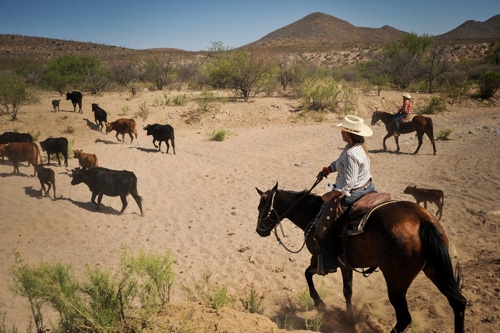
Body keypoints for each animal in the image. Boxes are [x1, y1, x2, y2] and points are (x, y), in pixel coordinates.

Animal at [256, 182, 466, 332]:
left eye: (261, 207)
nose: (259, 231)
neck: (313, 215)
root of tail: (421, 220)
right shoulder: (346, 265)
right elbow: (347, 291)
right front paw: (349, 318)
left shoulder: (322, 260)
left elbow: (308, 275)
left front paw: (321, 304)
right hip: (434, 269)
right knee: (458, 302)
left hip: (396, 283)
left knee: (404, 318)